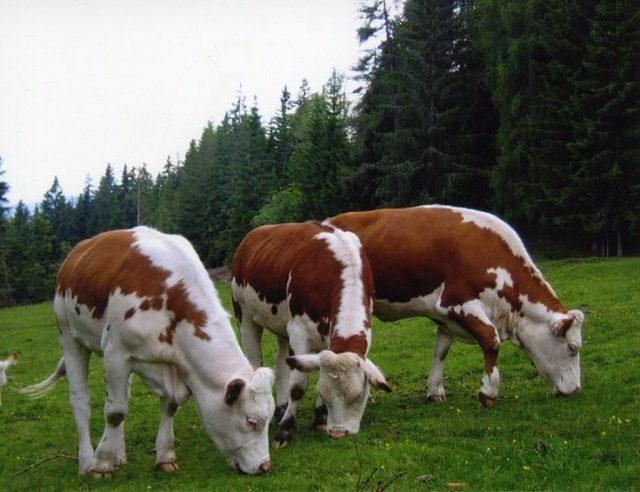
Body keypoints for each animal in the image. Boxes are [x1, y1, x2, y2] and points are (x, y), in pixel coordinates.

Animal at [19, 227, 276, 476]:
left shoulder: (172, 364)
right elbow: (115, 412)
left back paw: (119, 455)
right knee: (81, 401)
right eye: (252, 421)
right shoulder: (116, 353)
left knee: (122, 394)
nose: (264, 466)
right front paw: (101, 464)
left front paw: (164, 457)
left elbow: (168, 406)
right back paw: (86, 462)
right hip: (69, 338)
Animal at [230, 220, 390, 446]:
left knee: (281, 366)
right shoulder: (299, 332)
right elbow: (298, 386)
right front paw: (286, 429)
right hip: (243, 314)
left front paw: (320, 417)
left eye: (360, 395)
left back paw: (280, 409)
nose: (339, 433)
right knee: (254, 361)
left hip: (282, 327)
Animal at [330, 206, 584, 406]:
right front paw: (488, 392)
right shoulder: (457, 302)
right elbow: (491, 339)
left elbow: (441, 350)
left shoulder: (443, 315)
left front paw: (434, 391)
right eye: (572, 348)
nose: (575, 389)